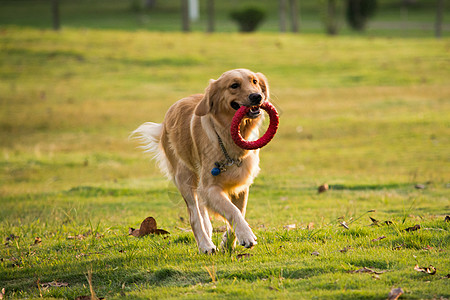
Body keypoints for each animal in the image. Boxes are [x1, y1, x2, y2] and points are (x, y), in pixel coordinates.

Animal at [132, 68, 268, 253]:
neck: (227, 137)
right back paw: (205, 244)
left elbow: (239, 211)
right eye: (234, 85)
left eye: (254, 81)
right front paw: (246, 235)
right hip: (184, 177)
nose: (257, 96)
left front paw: (228, 242)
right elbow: (232, 211)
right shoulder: (210, 188)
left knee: (203, 213)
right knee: (194, 215)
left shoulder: (240, 186)